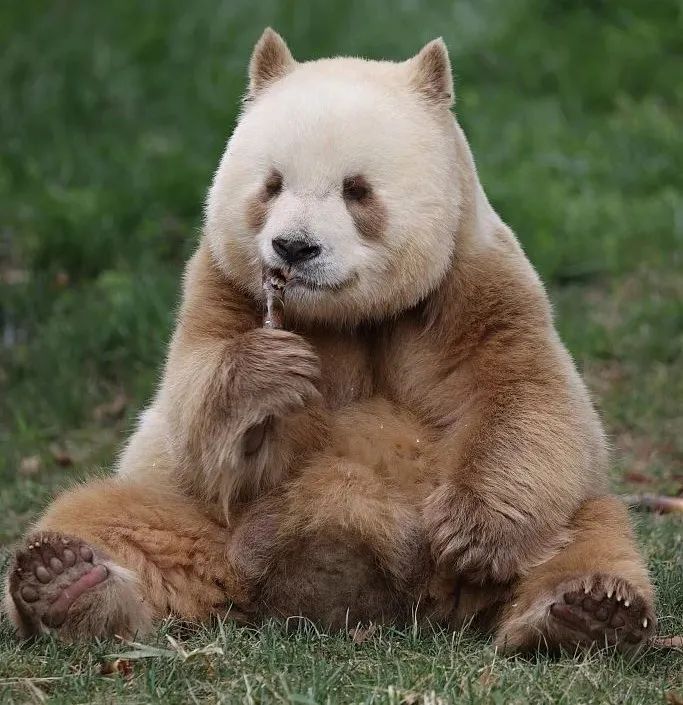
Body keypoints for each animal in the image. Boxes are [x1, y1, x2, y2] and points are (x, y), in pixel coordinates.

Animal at [4, 29, 655, 651]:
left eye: (356, 189)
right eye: (271, 184)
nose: (293, 248)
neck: (347, 314)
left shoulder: (476, 287)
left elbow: (532, 399)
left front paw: (471, 532)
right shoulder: (222, 286)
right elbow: (195, 412)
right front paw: (269, 373)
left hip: (550, 530)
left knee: (588, 533)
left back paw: (585, 612)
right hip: (197, 520)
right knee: (108, 518)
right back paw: (62, 580)